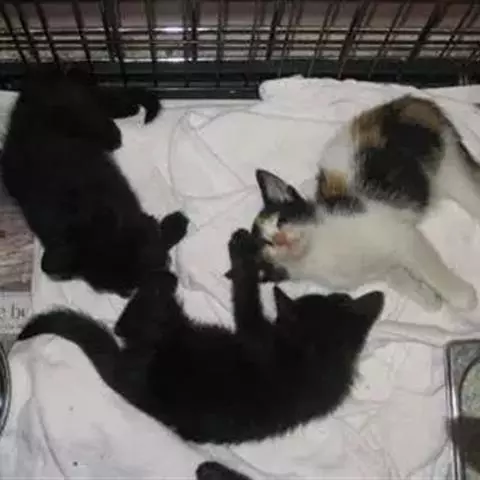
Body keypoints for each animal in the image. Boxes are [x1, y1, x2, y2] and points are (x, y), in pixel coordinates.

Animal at [0, 65, 180, 297]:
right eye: (119, 289)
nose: (130, 293)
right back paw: (127, 109)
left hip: (84, 114)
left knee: (106, 117)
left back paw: (124, 113)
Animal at [18, 227, 384, 444]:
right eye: (339, 299)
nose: (349, 297)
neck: (318, 353)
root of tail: (134, 387)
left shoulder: (255, 334)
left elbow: (245, 299)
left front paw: (242, 254)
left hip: (166, 328)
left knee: (129, 320)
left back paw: (161, 278)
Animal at [239, 95, 480, 312]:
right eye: (267, 244)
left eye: (281, 220)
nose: (281, 238)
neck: (318, 251)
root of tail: (412, 101)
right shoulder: (381, 269)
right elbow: (398, 277)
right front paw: (427, 298)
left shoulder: (397, 234)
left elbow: (427, 265)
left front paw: (460, 297)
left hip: (446, 164)